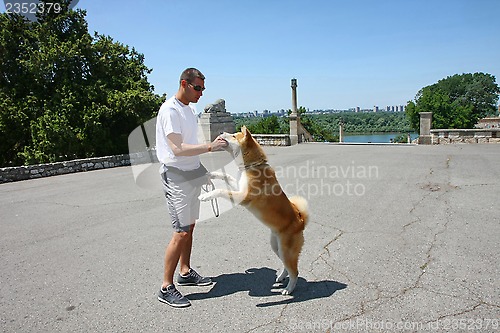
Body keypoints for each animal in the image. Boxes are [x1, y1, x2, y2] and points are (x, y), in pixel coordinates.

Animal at [199, 125, 308, 294]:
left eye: (233, 135)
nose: (222, 132)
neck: (251, 166)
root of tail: (301, 220)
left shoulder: (243, 197)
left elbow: (221, 190)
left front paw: (207, 195)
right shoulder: (239, 187)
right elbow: (227, 177)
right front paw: (212, 174)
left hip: (286, 250)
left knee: (295, 271)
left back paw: (289, 289)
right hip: (276, 247)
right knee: (287, 266)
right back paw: (281, 277)